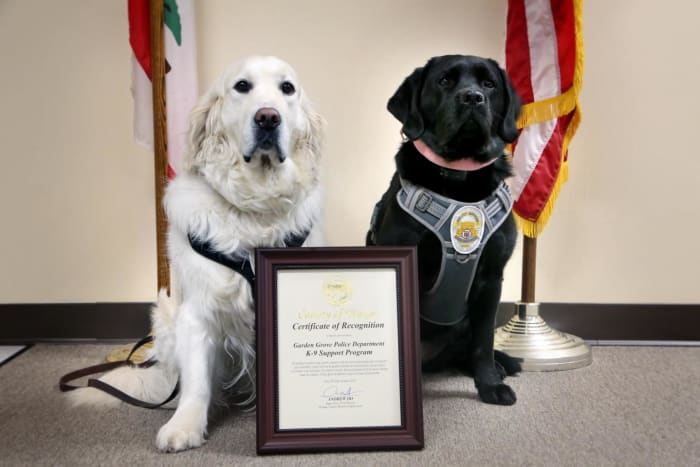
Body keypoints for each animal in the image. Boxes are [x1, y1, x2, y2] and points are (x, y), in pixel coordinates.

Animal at [370, 54, 524, 406]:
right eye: (444, 81)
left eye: (489, 84)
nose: (472, 98)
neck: (459, 179)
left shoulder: (491, 277)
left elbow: (483, 341)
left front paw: (490, 385)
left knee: (468, 351)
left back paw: (501, 365)